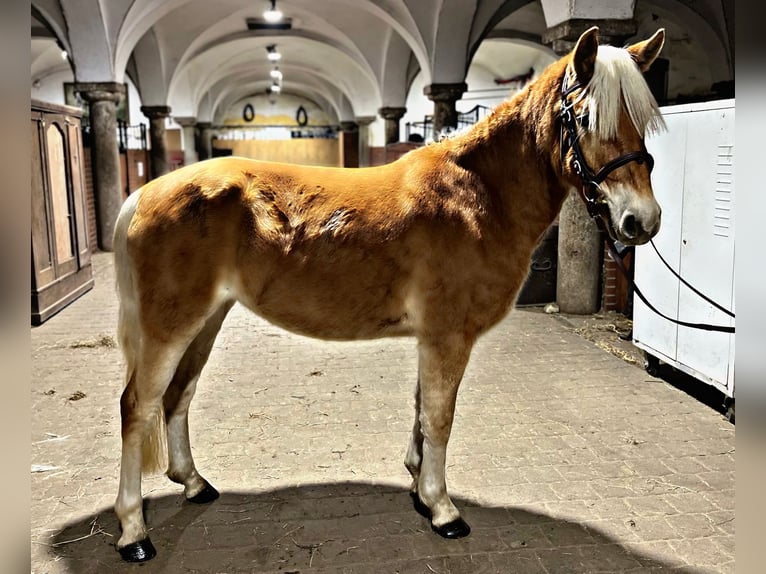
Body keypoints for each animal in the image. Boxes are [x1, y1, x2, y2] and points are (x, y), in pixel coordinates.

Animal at [112, 27, 664, 564]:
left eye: (644, 121)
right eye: (587, 117)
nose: (642, 221)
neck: (477, 195)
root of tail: (144, 192)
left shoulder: (434, 338)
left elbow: (423, 409)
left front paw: (420, 487)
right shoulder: (447, 336)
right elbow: (439, 416)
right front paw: (443, 509)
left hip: (205, 319)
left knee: (179, 395)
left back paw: (193, 483)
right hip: (170, 327)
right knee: (137, 406)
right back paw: (134, 531)